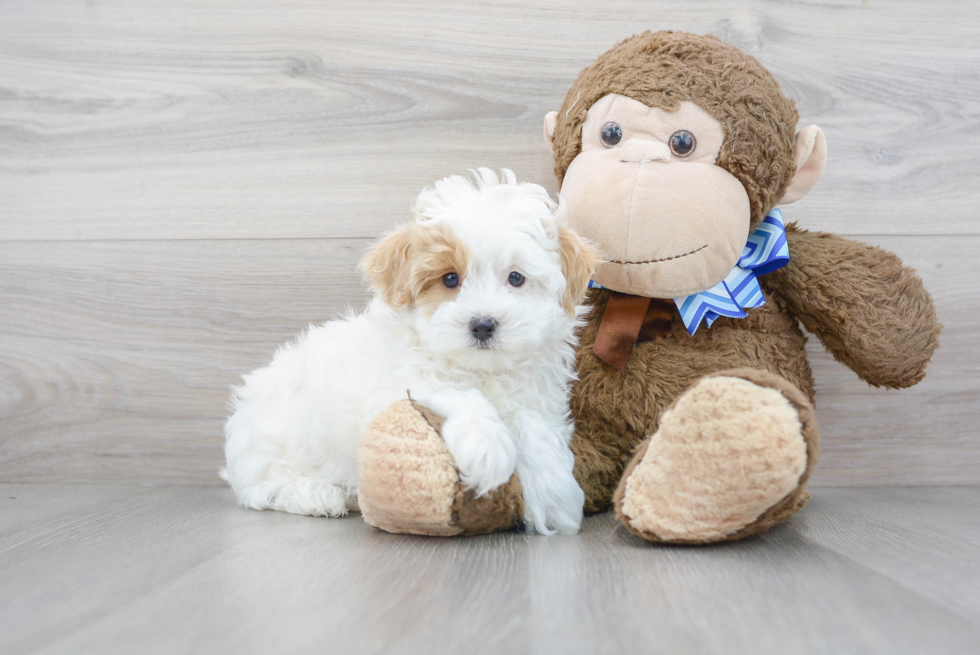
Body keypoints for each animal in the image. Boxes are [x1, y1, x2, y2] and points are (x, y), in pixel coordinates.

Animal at [222, 168, 596, 532]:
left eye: (516, 278)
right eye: (449, 279)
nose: (482, 324)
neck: (479, 369)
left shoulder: (534, 396)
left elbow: (535, 429)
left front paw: (554, 497)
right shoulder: (395, 388)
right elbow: (456, 393)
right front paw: (487, 447)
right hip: (281, 434)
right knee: (261, 488)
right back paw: (317, 495)